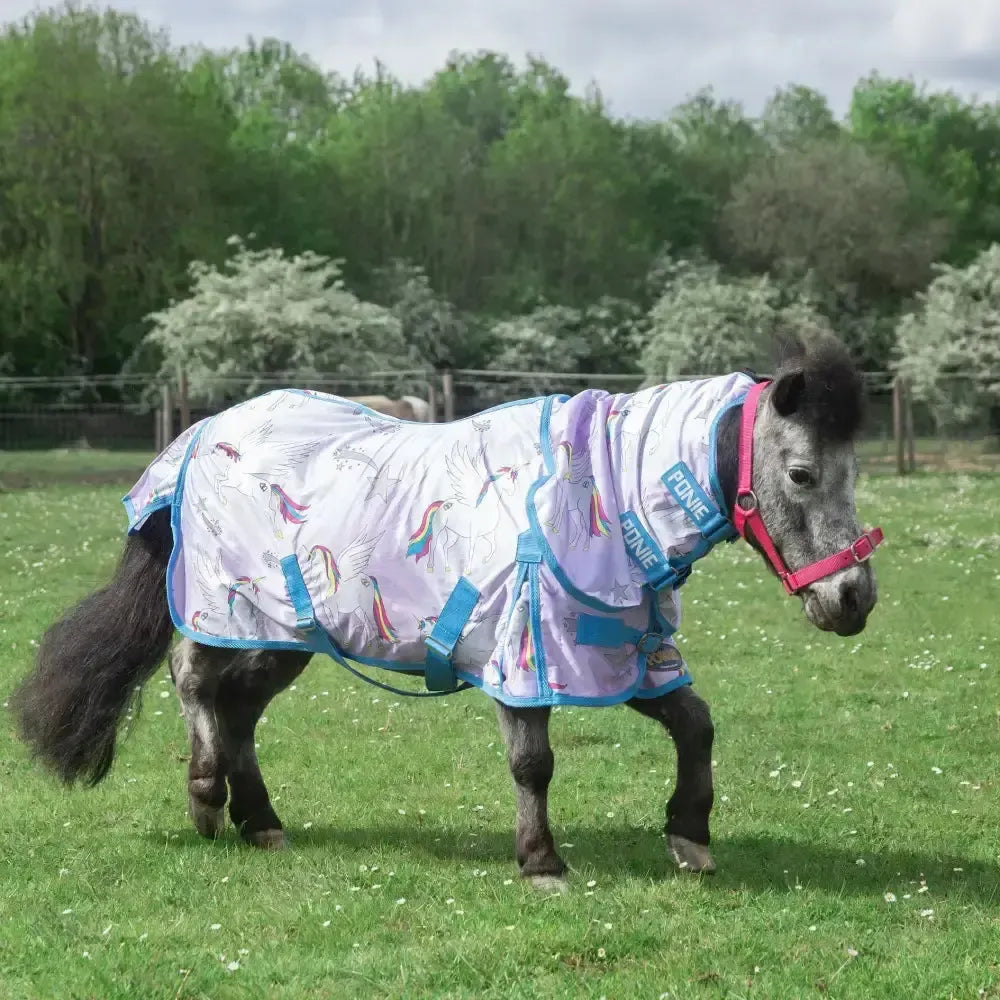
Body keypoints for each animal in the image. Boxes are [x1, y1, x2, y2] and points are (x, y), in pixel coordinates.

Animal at [10, 331, 882, 887]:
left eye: (853, 470)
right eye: (802, 474)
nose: (854, 600)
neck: (600, 491)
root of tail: (201, 435)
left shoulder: (619, 652)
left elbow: (696, 725)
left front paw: (690, 837)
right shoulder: (524, 657)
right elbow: (534, 763)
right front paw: (540, 862)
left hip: (287, 633)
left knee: (240, 712)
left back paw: (260, 819)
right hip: (226, 608)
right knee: (195, 683)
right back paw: (203, 797)